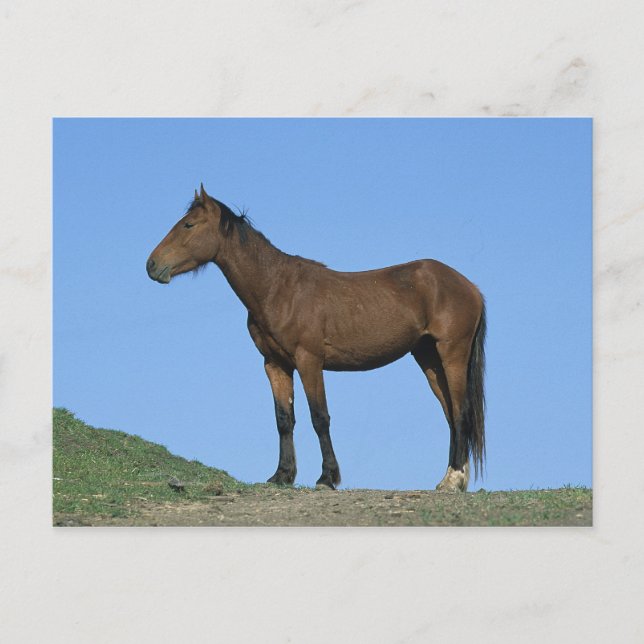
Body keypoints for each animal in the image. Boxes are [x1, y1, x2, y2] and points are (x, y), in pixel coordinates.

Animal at [146, 185, 486, 491]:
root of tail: (469, 286)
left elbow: (319, 417)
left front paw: (326, 478)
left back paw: (453, 481)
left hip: (451, 354)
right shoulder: (275, 364)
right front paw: (282, 475)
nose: (152, 265)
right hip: (428, 359)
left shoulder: (309, 361)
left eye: (189, 225)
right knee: (451, 414)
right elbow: (284, 419)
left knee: (460, 413)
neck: (277, 288)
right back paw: (450, 478)